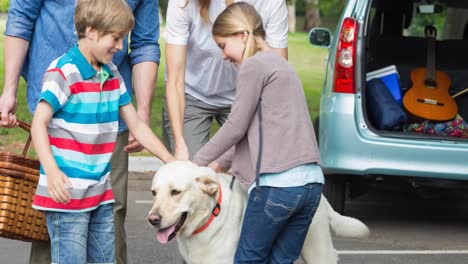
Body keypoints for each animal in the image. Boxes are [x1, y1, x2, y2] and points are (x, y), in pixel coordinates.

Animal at [147, 161, 370, 264]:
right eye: (154, 193)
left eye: (175, 192)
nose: (152, 220)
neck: (208, 217)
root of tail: (320, 195)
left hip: (317, 250)